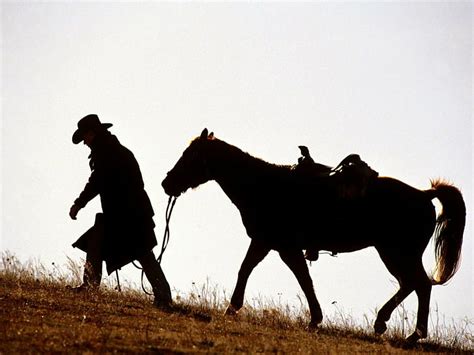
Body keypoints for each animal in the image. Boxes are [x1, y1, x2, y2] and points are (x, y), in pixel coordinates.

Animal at [161, 129, 464, 344]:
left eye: (190, 155)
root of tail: (424, 195)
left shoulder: (280, 246)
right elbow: (260, 271)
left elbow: (292, 278)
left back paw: (412, 334)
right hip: (393, 253)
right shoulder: (269, 244)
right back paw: (385, 323)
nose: (167, 183)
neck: (264, 185)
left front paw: (234, 308)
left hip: (397, 253)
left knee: (420, 285)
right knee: (410, 284)